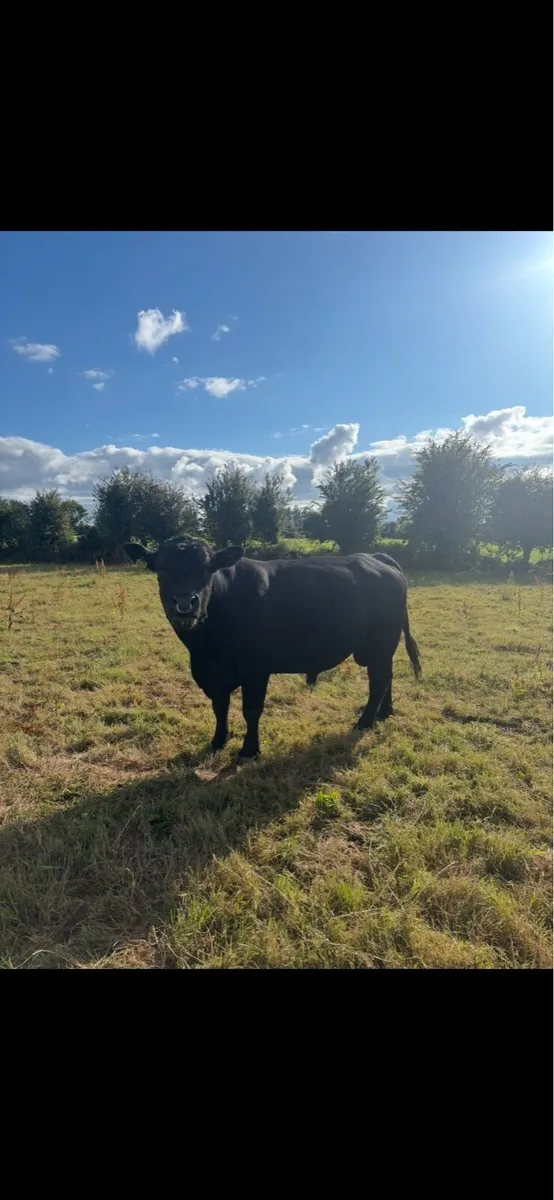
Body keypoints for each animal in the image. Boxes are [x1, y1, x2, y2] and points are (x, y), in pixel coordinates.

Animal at [124, 538, 421, 761]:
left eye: (207, 569)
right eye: (162, 570)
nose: (185, 603)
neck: (205, 648)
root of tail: (375, 558)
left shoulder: (255, 670)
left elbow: (251, 710)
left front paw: (249, 750)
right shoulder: (211, 674)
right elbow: (220, 707)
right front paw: (218, 740)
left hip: (380, 642)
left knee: (379, 679)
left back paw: (365, 721)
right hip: (381, 647)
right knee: (387, 676)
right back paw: (384, 713)